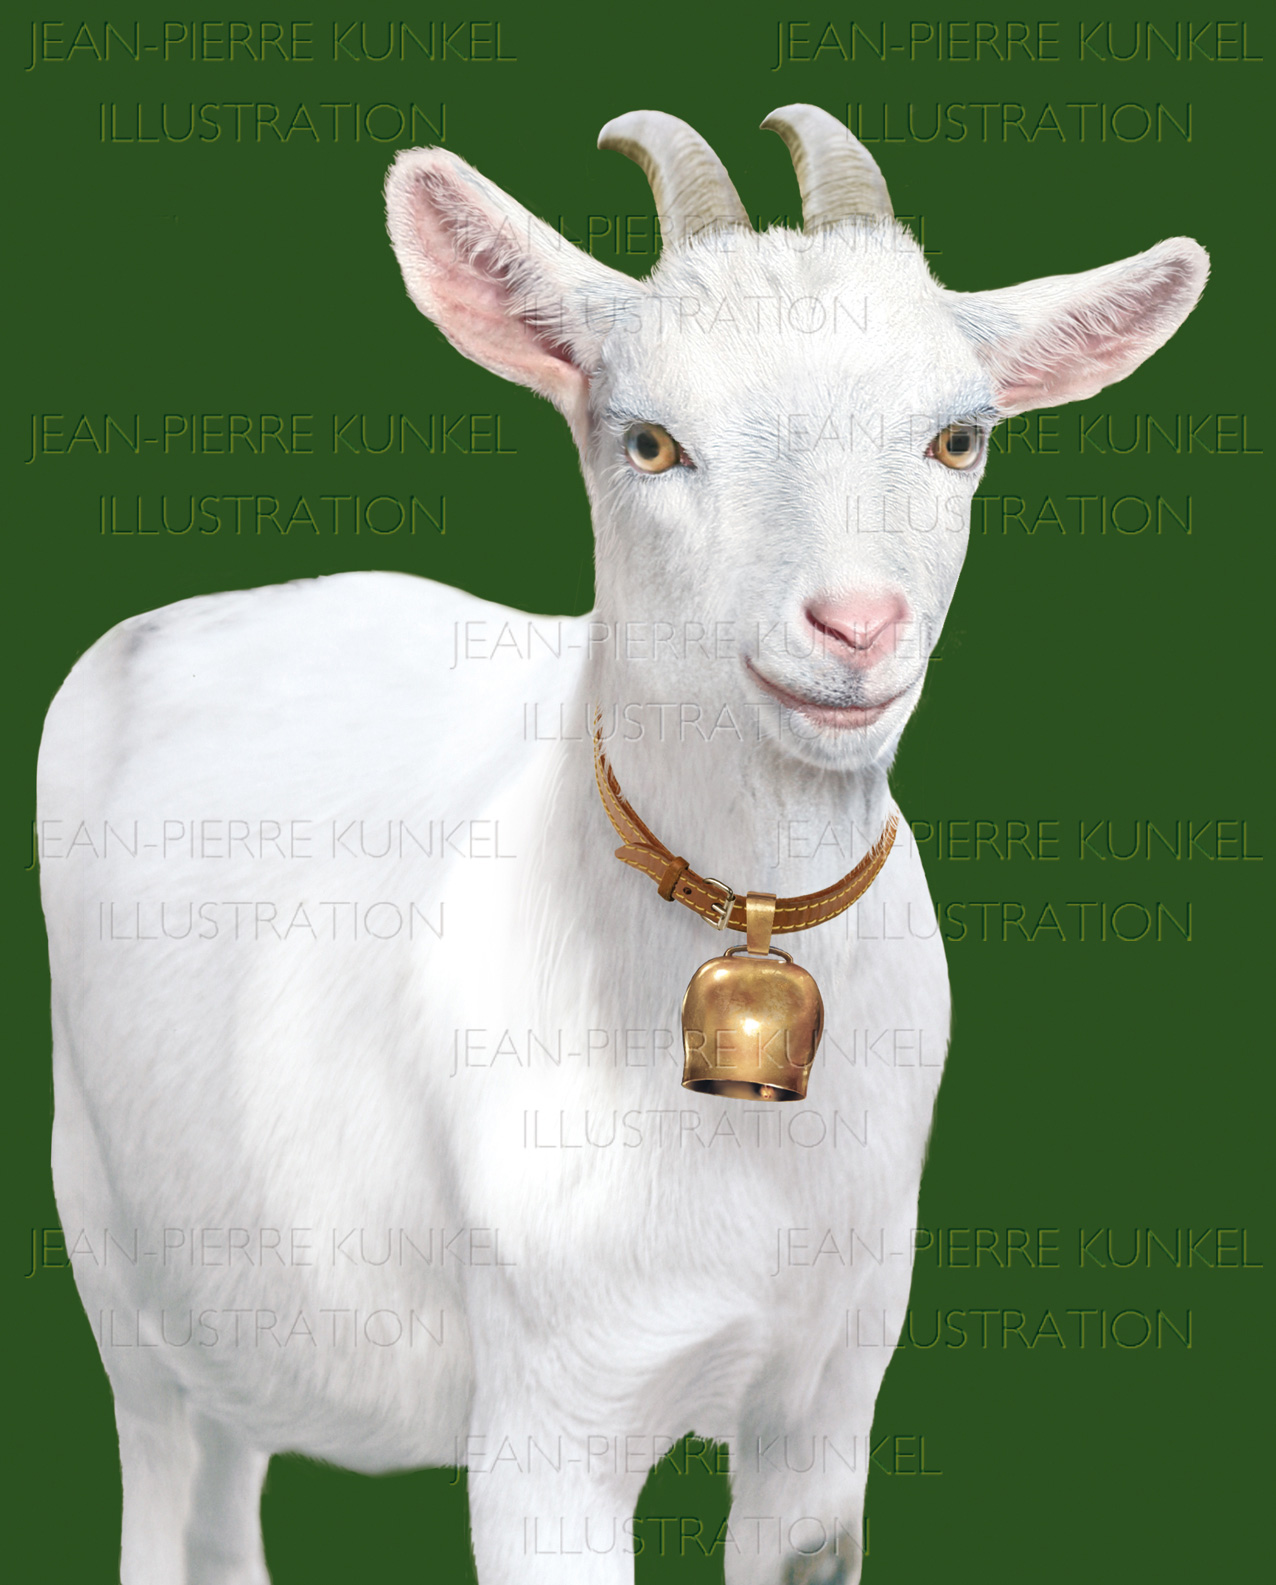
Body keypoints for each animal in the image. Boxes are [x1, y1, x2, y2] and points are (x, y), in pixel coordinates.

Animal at [38, 105, 1206, 1584]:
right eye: (649, 441)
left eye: (958, 438)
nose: (857, 628)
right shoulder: (552, 1413)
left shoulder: (827, 1401)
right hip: (108, 1237)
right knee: (158, 1458)